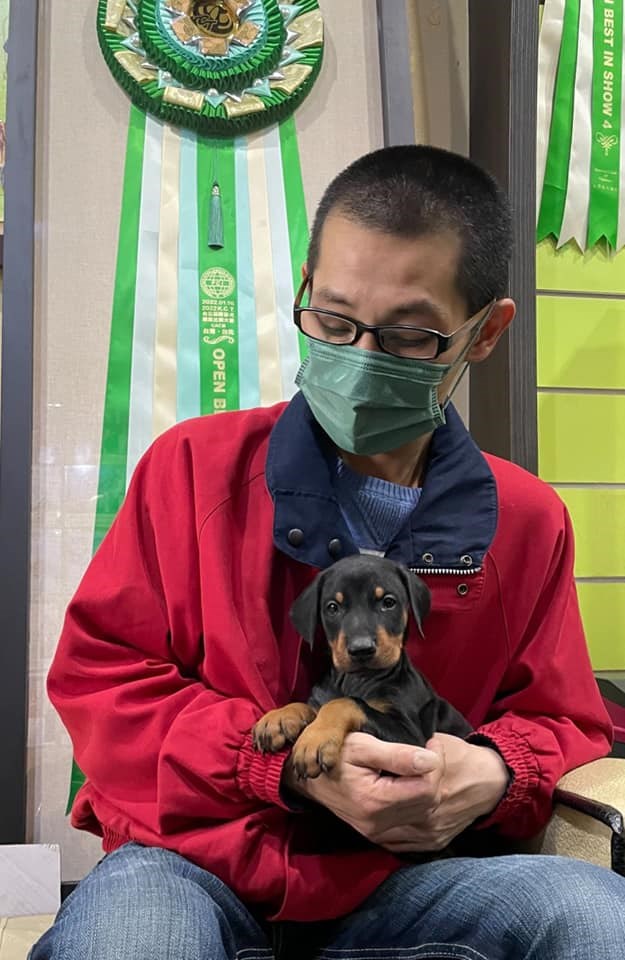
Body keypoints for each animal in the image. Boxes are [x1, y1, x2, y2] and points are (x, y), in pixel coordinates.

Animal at [253, 554, 472, 779]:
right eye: (332, 607)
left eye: (388, 602)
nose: (361, 649)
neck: (358, 679)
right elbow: (314, 705)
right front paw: (279, 717)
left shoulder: (411, 737)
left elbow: (346, 702)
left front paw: (314, 740)